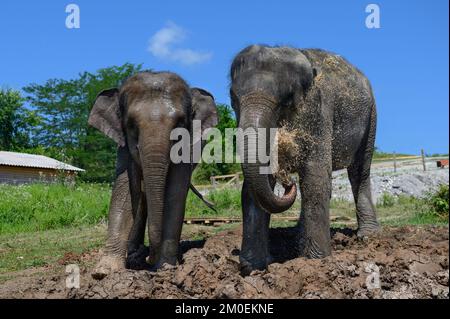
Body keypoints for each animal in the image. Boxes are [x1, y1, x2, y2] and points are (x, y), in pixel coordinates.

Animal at [88, 71, 218, 278]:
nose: (150, 259)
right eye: (131, 125)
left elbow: (174, 193)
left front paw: (165, 267)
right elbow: (124, 191)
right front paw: (103, 272)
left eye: (180, 123)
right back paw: (135, 253)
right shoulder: (124, 146)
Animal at [230, 45, 382, 276]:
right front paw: (252, 268)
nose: (287, 183)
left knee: (360, 172)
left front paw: (316, 262)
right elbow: (253, 186)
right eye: (233, 98)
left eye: (287, 99)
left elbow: (314, 179)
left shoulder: (319, 110)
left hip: (372, 117)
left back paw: (368, 236)